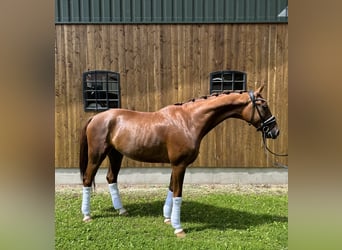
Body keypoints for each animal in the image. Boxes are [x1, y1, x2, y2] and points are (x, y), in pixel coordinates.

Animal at [80, 85, 280, 237]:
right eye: (263, 106)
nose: (275, 131)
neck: (188, 121)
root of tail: (96, 116)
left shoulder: (175, 166)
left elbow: (170, 189)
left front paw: (168, 219)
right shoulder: (179, 165)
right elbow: (178, 193)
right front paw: (179, 228)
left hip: (116, 154)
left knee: (111, 178)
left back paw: (121, 210)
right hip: (97, 155)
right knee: (88, 179)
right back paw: (87, 215)